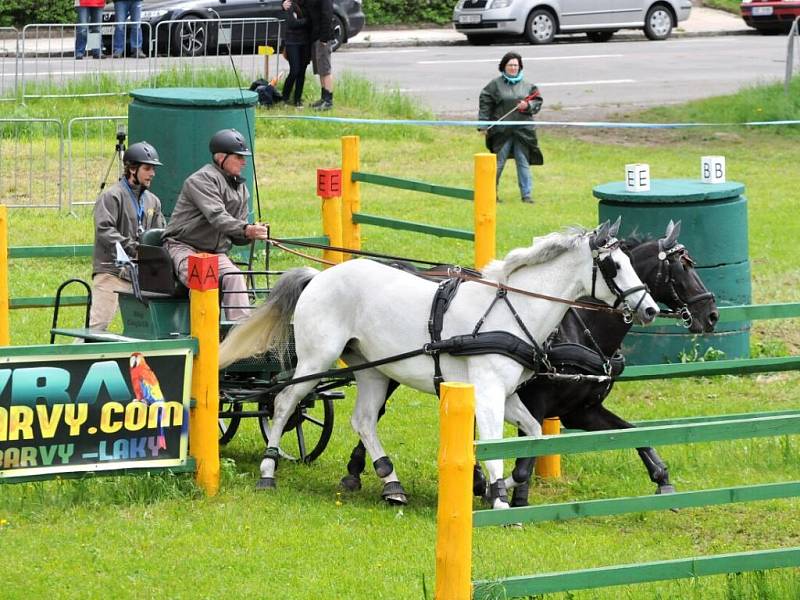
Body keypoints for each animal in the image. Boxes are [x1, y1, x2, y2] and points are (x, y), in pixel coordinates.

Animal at [219, 223, 656, 508]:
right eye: (614, 266)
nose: (650, 308)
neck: (511, 312)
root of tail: (319, 276)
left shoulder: (509, 395)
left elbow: (531, 434)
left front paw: (502, 486)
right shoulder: (488, 390)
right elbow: (494, 443)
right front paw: (499, 498)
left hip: (372, 369)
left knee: (363, 420)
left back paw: (391, 483)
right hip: (316, 359)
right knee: (283, 404)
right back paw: (268, 471)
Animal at [338, 223, 720, 504]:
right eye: (681, 266)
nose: (711, 314)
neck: (580, 329)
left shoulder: (581, 411)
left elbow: (634, 434)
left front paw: (662, 478)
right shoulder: (536, 403)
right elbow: (524, 461)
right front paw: (509, 493)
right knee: (372, 414)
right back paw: (363, 473)